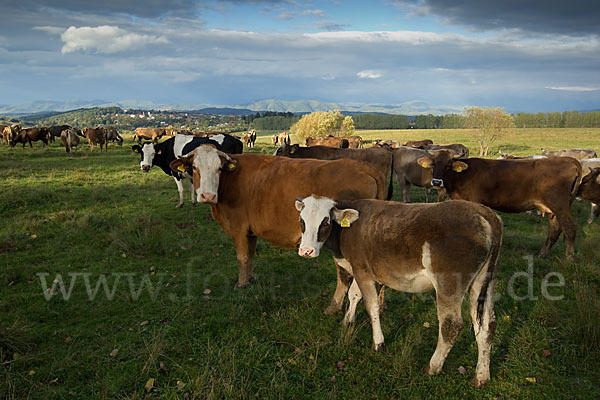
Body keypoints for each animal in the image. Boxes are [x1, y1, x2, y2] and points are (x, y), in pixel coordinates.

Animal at [168, 147, 390, 316]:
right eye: (194, 167)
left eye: (219, 168)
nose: (207, 195)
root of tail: (360, 165)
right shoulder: (250, 231)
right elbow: (250, 256)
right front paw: (249, 279)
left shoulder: (239, 228)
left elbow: (242, 257)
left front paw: (241, 284)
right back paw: (380, 306)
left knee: (343, 275)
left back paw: (333, 307)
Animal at [296, 196, 502, 388]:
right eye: (302, 221)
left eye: (325, 222)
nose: (306, 251)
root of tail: (485, 213)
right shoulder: (373, 273)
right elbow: (354, 294)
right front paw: (347, 320)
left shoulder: (362, 271)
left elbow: (371, 306)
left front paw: (378, 342)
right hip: (484, 282)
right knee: (487, 325)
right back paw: (482, 375)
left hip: (449, 284)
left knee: (451, 325)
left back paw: (433, 366)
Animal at [418, 152, 580, 258]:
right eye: (433, 164)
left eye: (448, 165)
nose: (436, 182)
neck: (461, 176)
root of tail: (571, 161)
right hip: (555, 208)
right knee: (555, 229)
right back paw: (543, 254)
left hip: (560, 205)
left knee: (570, 227)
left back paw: (568, 258)